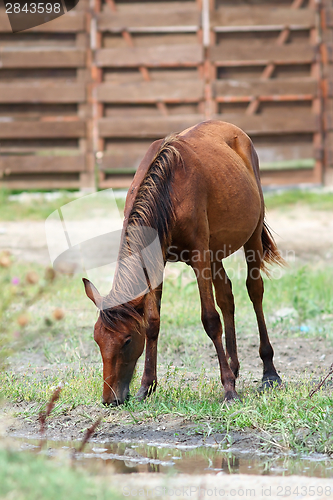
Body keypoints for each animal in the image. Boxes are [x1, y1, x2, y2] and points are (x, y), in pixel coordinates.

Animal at [83, 120, 282, 406]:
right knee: (227, 296)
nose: (110, 398)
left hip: (251, 237)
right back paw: (234, 367)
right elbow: (153, 322)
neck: (168, 190)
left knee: (255, 291)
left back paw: (269, 373)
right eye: (97, 339)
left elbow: (210, 320)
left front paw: (229, 389)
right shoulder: (157, 261)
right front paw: (146, 386)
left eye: (127, 340)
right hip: (215, 251)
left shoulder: (199, 256)